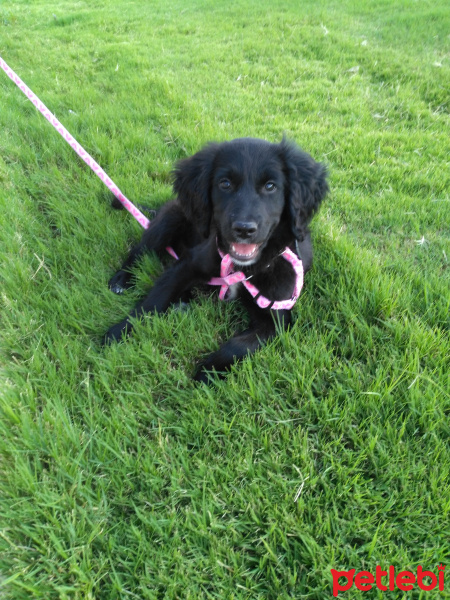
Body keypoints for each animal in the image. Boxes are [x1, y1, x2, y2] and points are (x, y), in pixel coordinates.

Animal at [103, 137, 328, 380]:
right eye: (225, 184)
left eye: (270, 186)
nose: (244, 229)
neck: (243, 268)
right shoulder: (188, 264)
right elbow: (153, 301)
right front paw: (119, 331)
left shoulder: (276, 317)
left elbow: (239, 346)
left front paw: (206, 371)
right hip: (169, 219)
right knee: (141, 248)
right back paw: (123, 279)